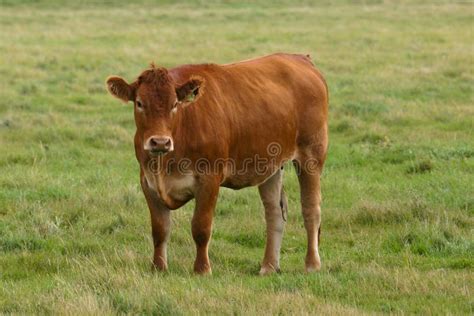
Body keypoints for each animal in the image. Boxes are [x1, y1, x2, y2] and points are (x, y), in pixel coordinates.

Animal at [105, 52, 328, 274]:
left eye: (175, 104)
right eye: (139, 103)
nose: (160, 141)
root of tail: (299, 58)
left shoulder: (209, 179)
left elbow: (201, 227)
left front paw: (202, 269)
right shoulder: (148, 182)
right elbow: (160, 230)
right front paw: (158, 268)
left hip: (311, 155)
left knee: (311, 209)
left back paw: (312, 264)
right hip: (271, 166)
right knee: (274, 213)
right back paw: (268, 267)